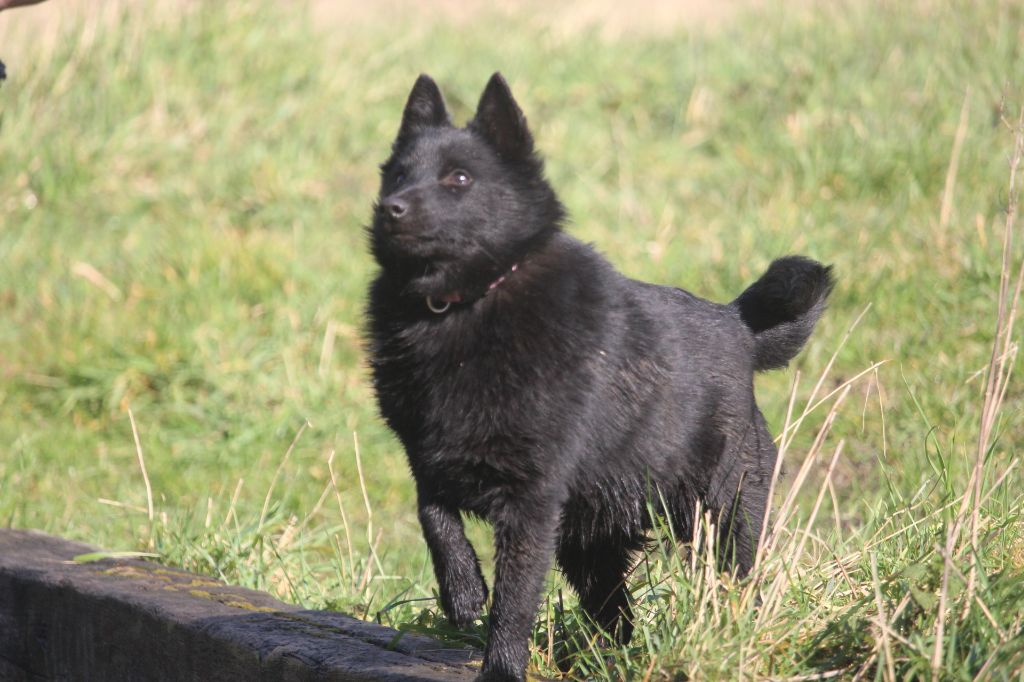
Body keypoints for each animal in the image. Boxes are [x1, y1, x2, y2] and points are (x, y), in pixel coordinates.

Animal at [368, 71, 831, 675]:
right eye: (399, 173)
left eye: (459, 178)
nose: (391, 208)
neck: (462, 306)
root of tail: (738, 326)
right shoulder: (429, 455)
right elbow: (432, 514)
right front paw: (463, 590)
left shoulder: (533, 501)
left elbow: (514, 600)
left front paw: (501, 666)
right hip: (589, 539)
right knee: (617, 614)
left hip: (720, 515)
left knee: (732, 580)